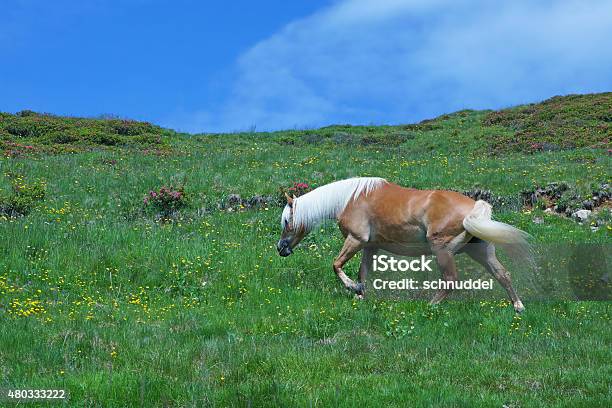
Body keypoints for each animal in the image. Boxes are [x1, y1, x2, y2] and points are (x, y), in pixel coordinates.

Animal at [278, 177, 532, 314]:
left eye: (287, 221)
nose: (280, 248)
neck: (350, 199)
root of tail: (475, 207)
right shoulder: (370, 247)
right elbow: (363, 273)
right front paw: (361, 295)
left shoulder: (356, 240)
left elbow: (337, 265)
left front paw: (353, 288)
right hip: (480, 251)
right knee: (503, 274)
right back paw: (518, 307)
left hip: (442, 250)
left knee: (450, 280)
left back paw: (430, 305)